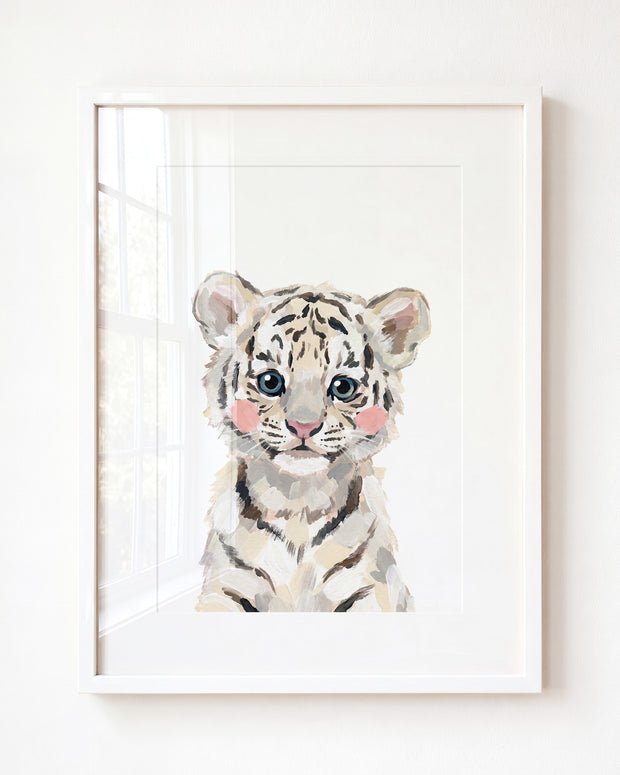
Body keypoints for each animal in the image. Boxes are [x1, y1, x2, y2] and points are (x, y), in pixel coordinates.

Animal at [192, 271, 430, 612]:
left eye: (343, 386)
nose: (303, 427)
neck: (297, 504)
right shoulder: (225, 589)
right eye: (270, 382)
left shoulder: (372, 589)